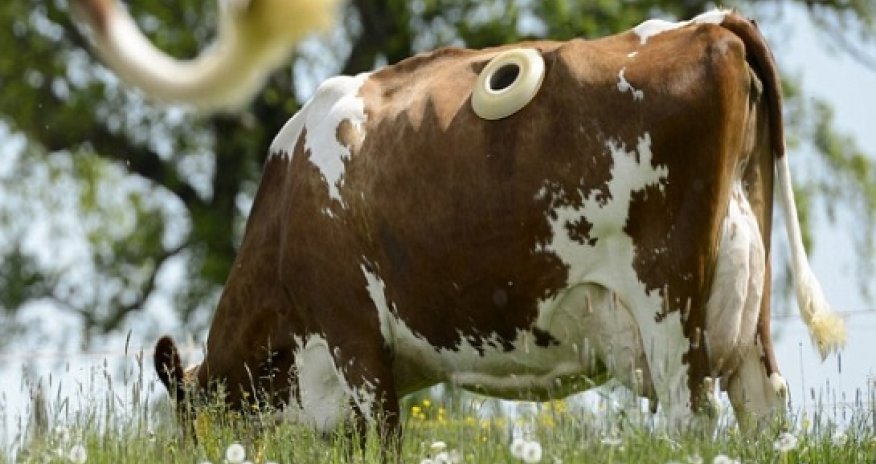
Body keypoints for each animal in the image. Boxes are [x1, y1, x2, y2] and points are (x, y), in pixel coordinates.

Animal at [73, 1, 846, 440]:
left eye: (186, 436)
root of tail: (710, 22)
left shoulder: (354, 340)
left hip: (667, 302)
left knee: (692, 417)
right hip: (746, 299)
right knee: (764, 409)